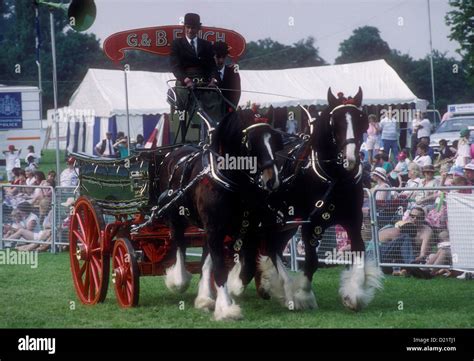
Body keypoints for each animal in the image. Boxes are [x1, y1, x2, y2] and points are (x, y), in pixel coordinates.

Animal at [156, 108, 282, 320]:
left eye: (274, 139)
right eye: (251, 141)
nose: (273, 181)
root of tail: (174, 153)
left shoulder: (246, 228)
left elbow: (247, 264)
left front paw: (235, 285)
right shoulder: (215, 228)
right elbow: (220, 267)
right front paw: (226, 308)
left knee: (205, 259)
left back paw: (204, 297)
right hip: (177, 218)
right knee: (180, 245)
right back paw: (179, 280)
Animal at [235, 86, 384, 310]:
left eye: (361, 120)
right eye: (335, 122)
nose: (350, 159)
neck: (335, 178)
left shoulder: (354, 220)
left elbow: (359, 252)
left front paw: (353, 294)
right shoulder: (311, 224)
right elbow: (312, 261)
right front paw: (303, 295)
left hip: (286, 224)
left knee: (273, 248)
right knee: (264, 247)